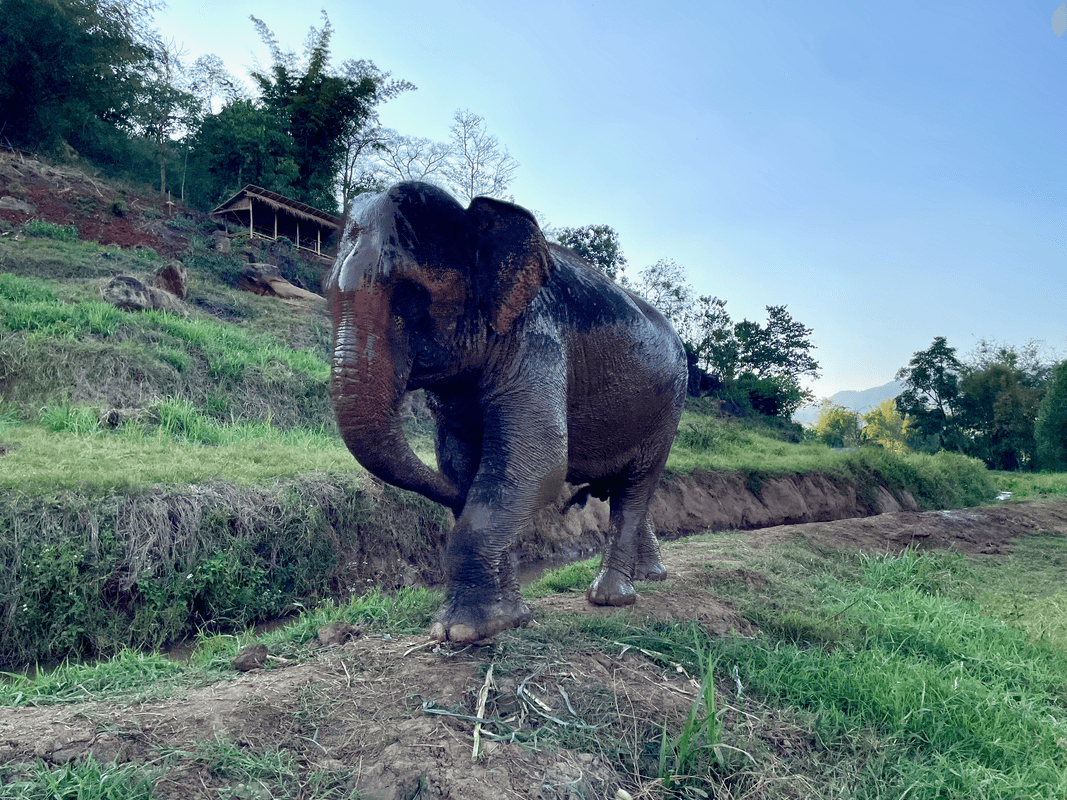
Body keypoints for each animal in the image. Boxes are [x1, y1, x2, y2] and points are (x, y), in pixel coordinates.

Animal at [326, 182, 687, 644]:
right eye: (329, 293)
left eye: (412, 294)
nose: (571, 503)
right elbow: (461, 461)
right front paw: (510, 618)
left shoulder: (537, 339)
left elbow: (541, 462)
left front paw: (462, 630)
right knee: (636, 492)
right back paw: (647, 577)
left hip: (669, 406)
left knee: (637, 487)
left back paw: (612, 597)